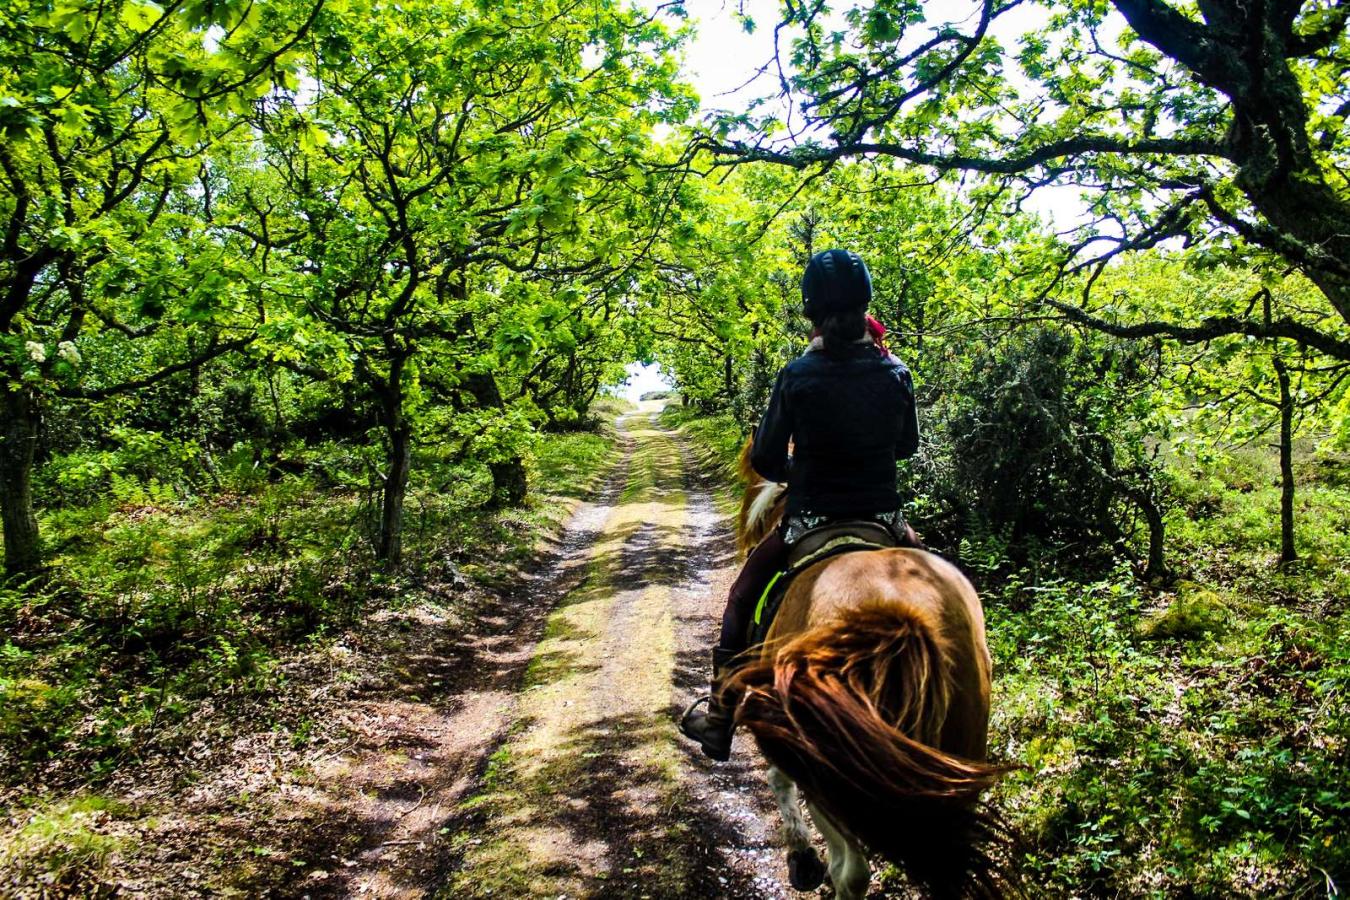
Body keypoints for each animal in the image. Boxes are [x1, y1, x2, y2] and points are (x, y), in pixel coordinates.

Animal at [726, 439, 1013, 899]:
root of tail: (900, 616)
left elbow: (778, 778)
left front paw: (802, 858)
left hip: (832, 772)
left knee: (851, 872)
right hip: (962, 750)